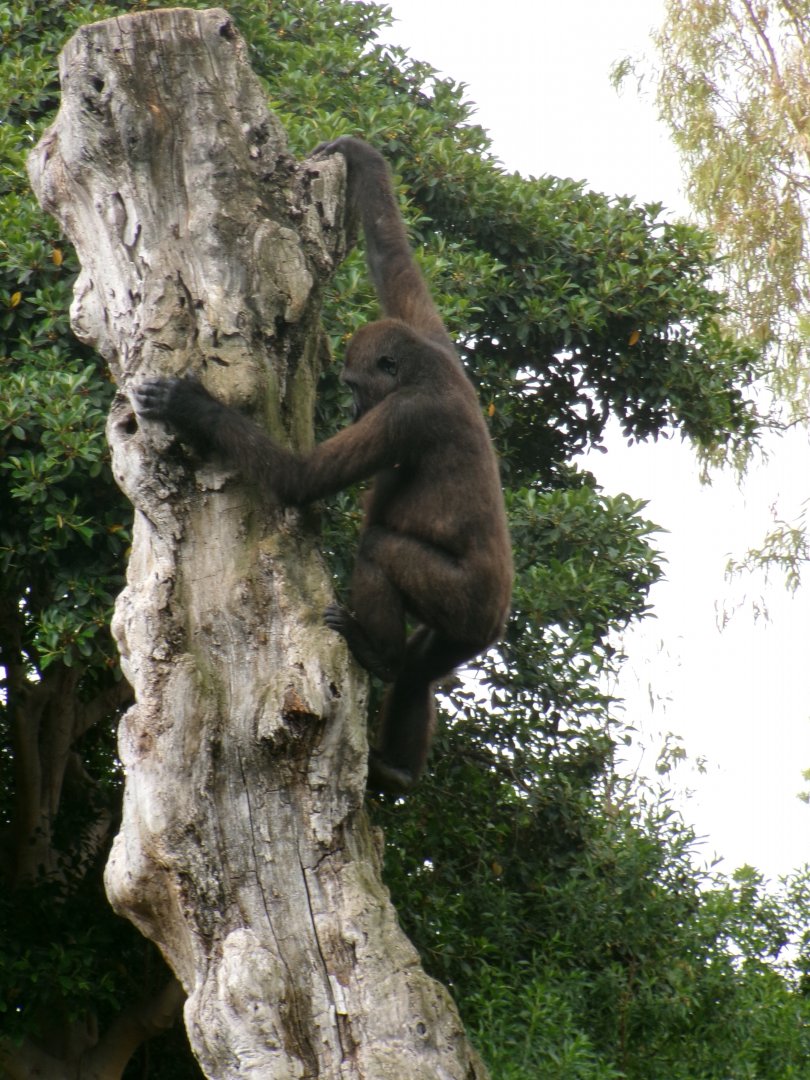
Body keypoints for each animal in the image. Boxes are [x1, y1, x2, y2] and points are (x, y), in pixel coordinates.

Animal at [132, 137, 513, 793]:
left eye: (356, 386)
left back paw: (377, 653)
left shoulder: (402, 416)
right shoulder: (437, 340)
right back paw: (398, 766)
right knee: (424, 669)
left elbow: (301, 480)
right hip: (466, 633)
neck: (423, 371)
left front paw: (193, 408)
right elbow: (394, 260)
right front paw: (360, 159)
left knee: (381, 551)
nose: (355, 406)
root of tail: (498, 619)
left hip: (467, 602)